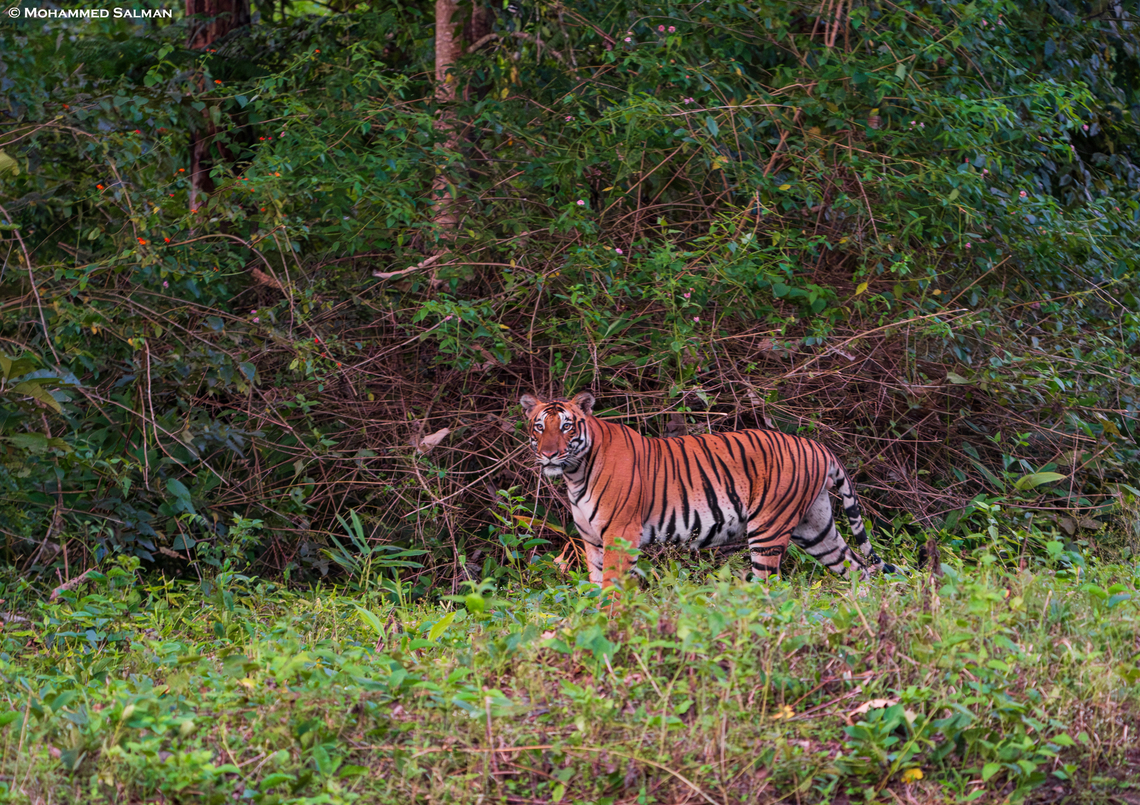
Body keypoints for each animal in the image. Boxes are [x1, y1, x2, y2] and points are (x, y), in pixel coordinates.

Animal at [520, 391, 899, 587]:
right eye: (539, 427)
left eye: (567, 427)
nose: (549, 454)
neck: (575, 472)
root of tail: (818, 446)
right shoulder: (592, 540)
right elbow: (598, 586)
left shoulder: (620, 535)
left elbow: (614, 587)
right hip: (815, 527)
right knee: (858, 568)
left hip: (769, 529)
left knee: (771, 587)